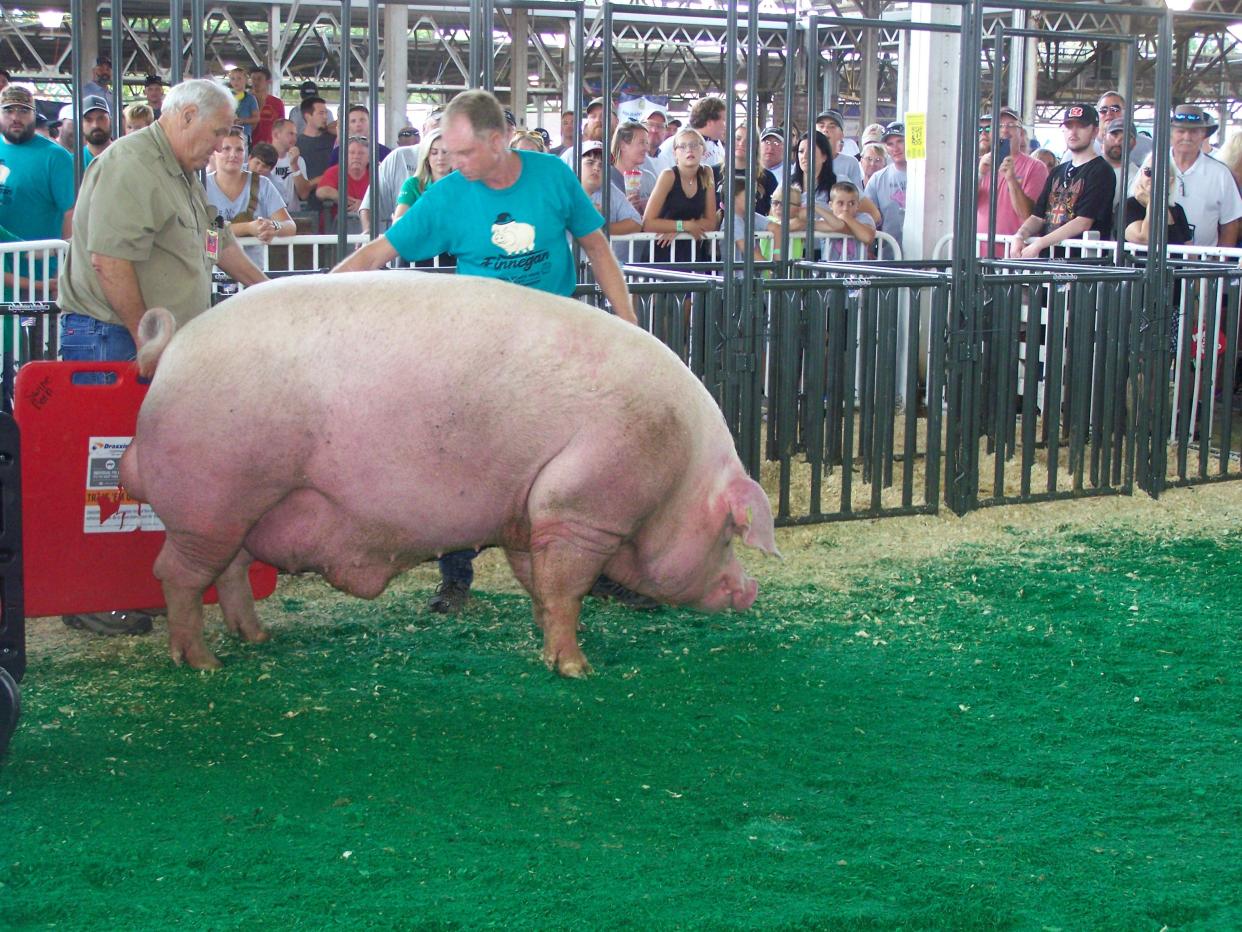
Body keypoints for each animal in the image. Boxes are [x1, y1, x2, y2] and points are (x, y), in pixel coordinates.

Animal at [118, 269, 775, 680]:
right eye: (728, 534)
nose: (750, 590)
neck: (678, 468)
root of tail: (169, 351)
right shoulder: (578, 505)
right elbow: (566, 589)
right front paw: (578, 670)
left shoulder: (530, 510)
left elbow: (540, 587)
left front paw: (546, 650)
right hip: (212, 499)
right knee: (176, 574)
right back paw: (202, 664)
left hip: (234, 510)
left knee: (227, 572)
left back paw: (256, 640)